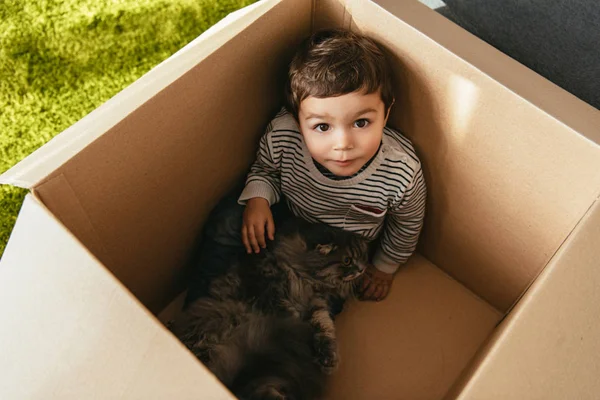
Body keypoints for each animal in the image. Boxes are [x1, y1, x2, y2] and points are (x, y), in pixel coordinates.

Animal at [172, 217, 370, 400]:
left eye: (362, 257)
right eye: (347, 260)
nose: (362, 269)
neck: (307, 279)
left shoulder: (316, 305)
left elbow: (326, 328)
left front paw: (329, 358)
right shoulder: (269, 288)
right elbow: (287, 310)